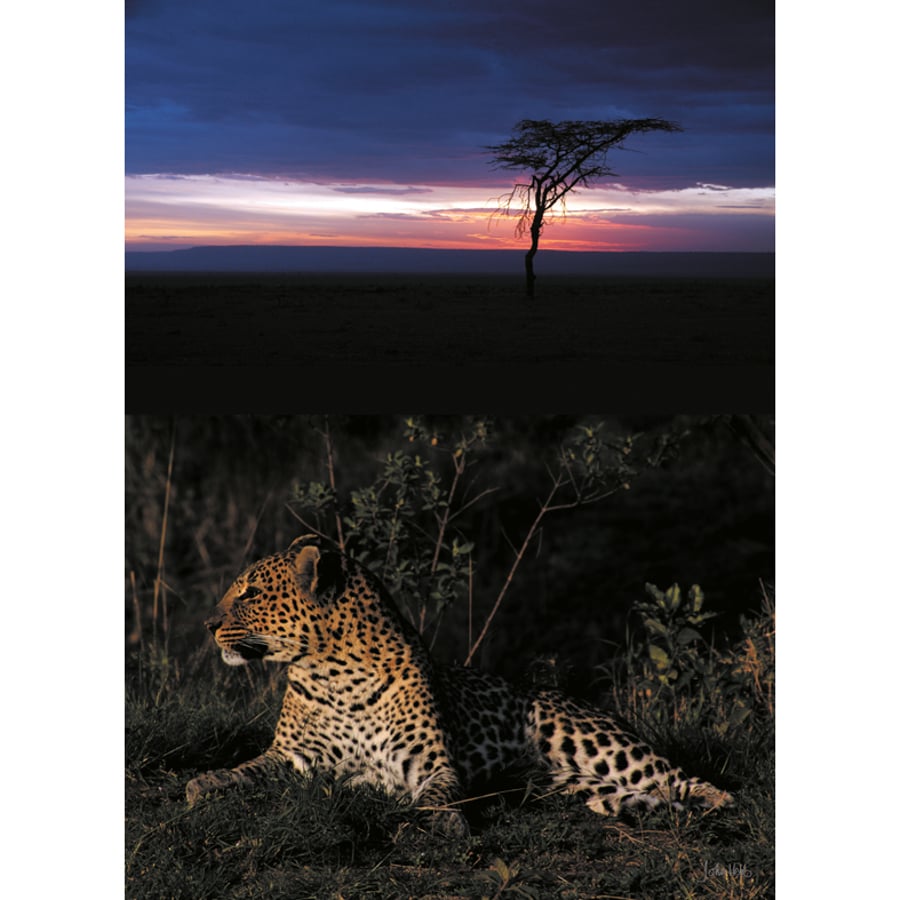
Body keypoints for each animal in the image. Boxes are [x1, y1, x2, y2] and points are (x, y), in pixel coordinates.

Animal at [186, 535, 732, 834]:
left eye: (250, 593)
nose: (207, 624)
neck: (334, 673)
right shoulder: (293, 757)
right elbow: (246, 769)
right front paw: (206, 784)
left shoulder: (429, 762)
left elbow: (438, 793)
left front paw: (440, 820)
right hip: (573, 785)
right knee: (636, 795)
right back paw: (657, 812)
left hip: (596, 743)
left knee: (685, 778)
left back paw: (713, 807)